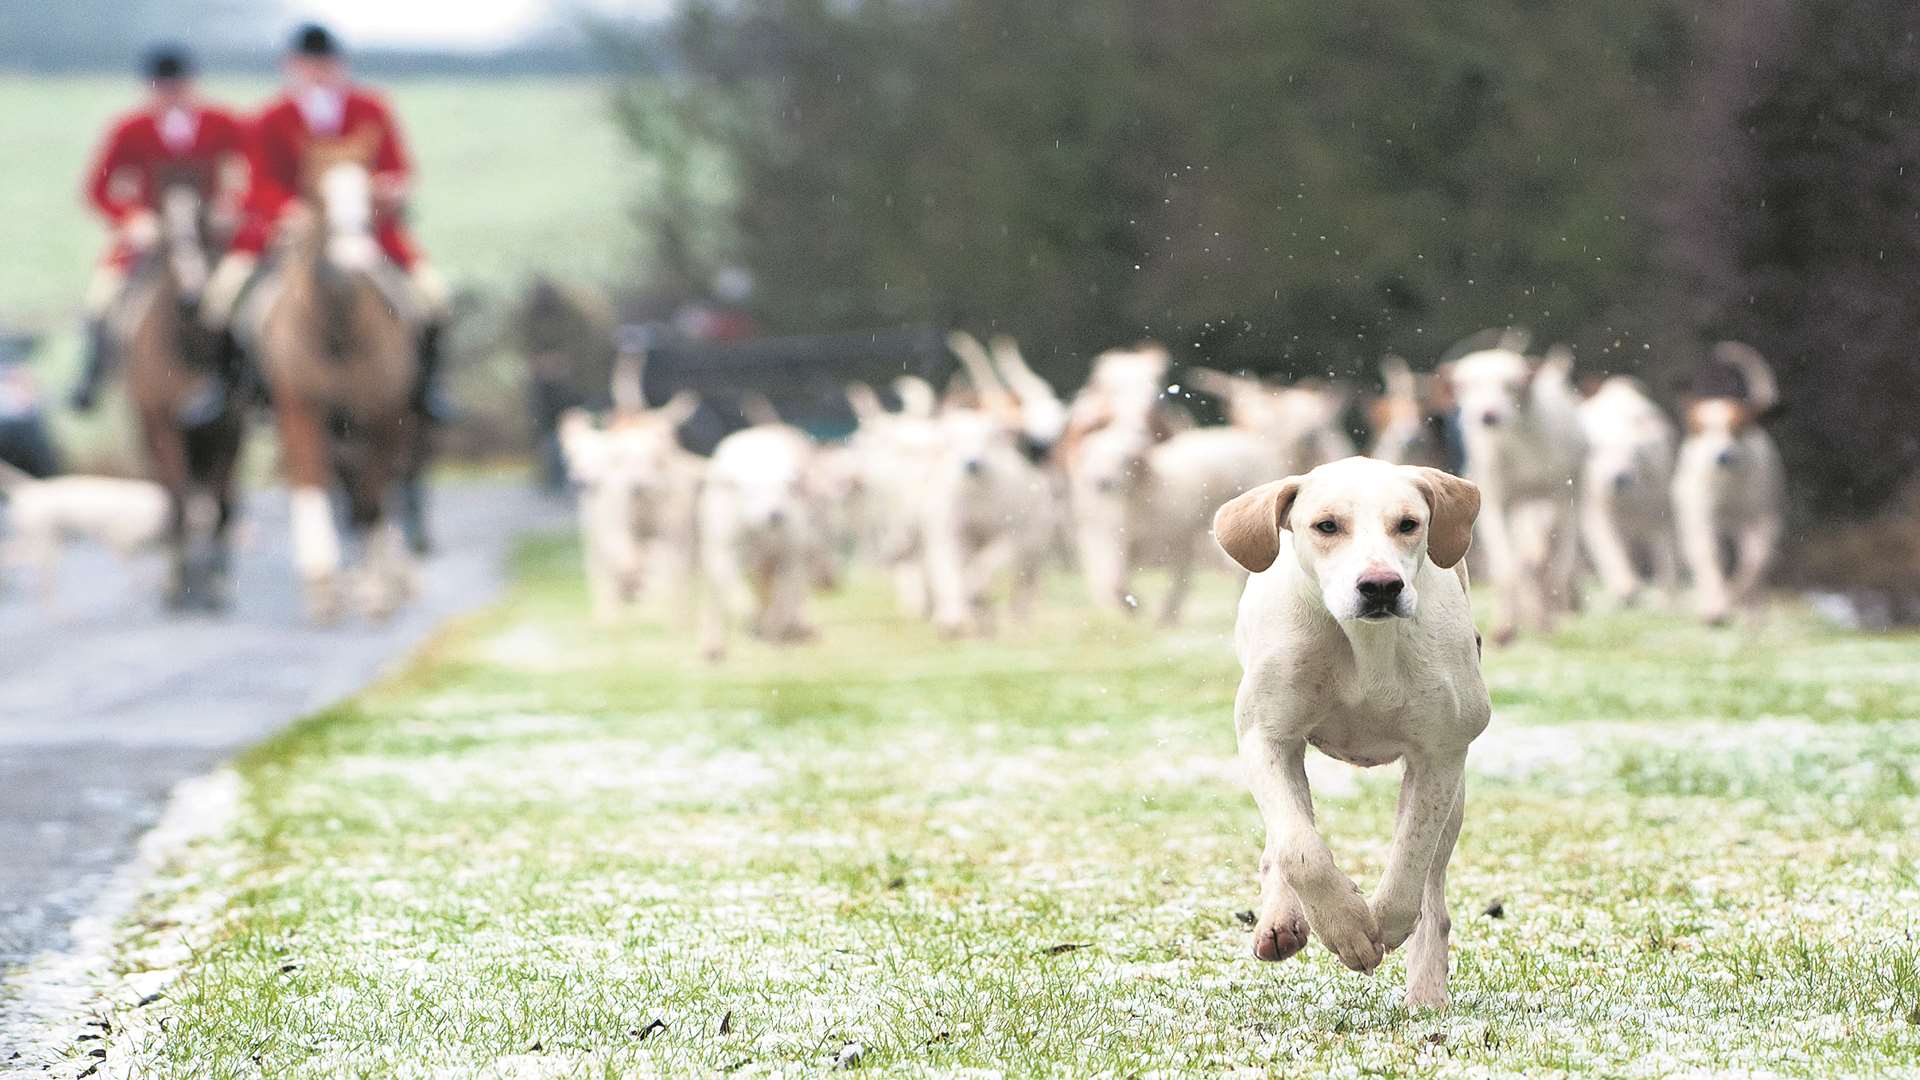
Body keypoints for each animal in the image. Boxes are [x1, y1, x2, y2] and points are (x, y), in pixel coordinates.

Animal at [120, 169, 245, 607]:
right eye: (166, 239)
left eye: (207, 228)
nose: (192, 297)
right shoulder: (165, 429)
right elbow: (178, 502)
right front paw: (177, 585)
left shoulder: (229, 430)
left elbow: (220, 505)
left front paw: (218, 584)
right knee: (178, 498)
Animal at [253, 146, 422, 618]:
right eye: (315, 194)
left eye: (370, 194)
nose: (355, 254)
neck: (336, 331)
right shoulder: (300, 411)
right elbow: (313, 486)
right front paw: (323, 583)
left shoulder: (381, 418)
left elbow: (371, 502)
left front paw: (376, 590)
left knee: (382, 493)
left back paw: (392, 576)